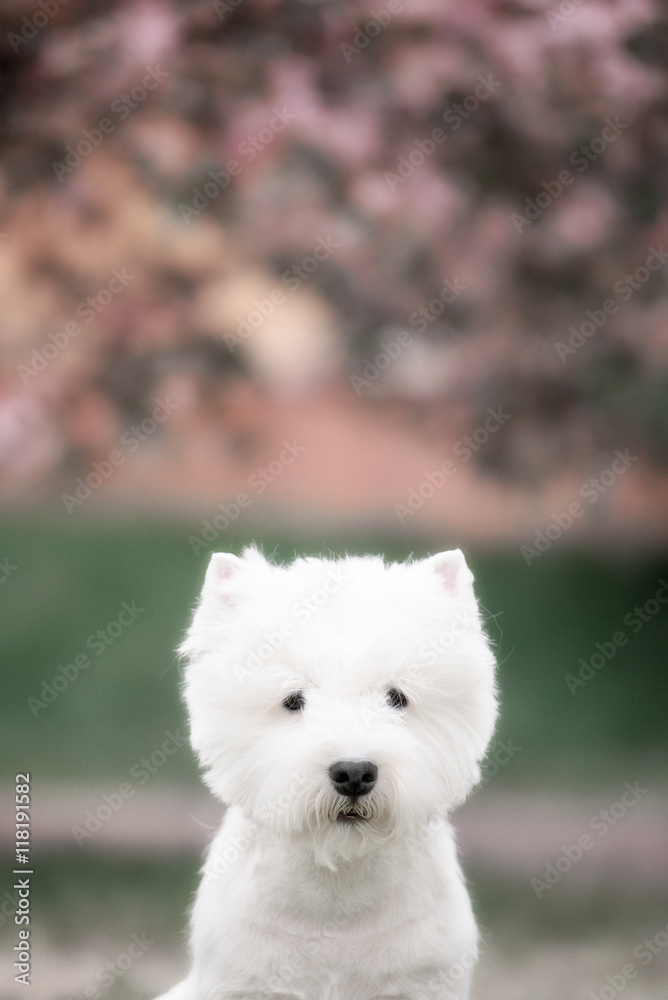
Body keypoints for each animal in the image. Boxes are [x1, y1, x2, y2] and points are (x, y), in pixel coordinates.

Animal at [158, 548, 496, 1000]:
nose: (354, 772)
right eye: (293, 700)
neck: (336, 898)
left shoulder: (427, 980)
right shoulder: (239, 982)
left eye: (396, 697)